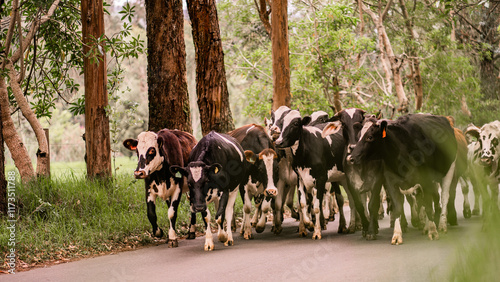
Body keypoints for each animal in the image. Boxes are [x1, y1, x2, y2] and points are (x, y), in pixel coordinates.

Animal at [348, 114, 458, 245]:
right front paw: (397, 235)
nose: (351, 158)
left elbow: (427, 205)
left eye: (370, 137)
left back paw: (441, 225)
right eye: (359, 136)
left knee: (444, 197)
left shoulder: (425, 181)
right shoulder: (391, 182)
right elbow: (398, 208)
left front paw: (433, 231)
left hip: (449, 170)